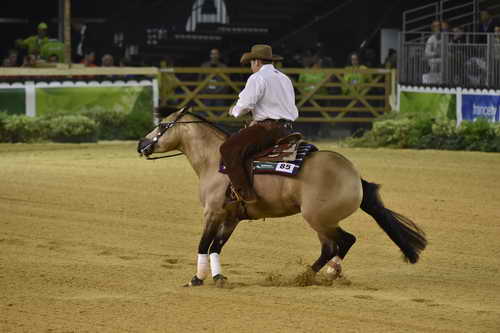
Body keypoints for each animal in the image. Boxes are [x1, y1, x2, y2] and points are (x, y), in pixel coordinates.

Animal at [137, 107, 426, 286]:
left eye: (162, 125)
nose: (141, 144)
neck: (214, 161)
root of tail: (355, 176)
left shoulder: (212, 212)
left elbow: (203, 244)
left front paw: (196, 279)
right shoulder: (231, 217)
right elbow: (217, 246)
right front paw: (219, 278)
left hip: (318, 219)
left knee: (344, 241)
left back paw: (319, 274)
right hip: (322, 222)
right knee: (330, 247)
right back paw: (310, 275)